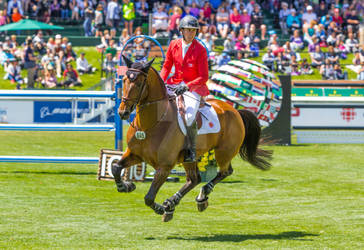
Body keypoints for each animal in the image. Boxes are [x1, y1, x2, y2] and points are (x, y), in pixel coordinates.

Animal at [112, 55, 272, 222]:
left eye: (139, 83)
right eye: (124, 80)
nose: (123, 112)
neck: (150, 124)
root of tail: (235, 110)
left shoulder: (165, 167)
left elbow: (149, 198)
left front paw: (159, 208)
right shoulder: (134, 154)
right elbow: (115, 167)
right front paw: (126, 186)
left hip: (224, 152)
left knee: (224, 172)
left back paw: (198, 197)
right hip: (189, 158)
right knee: (194, 178)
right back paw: (173, 203)